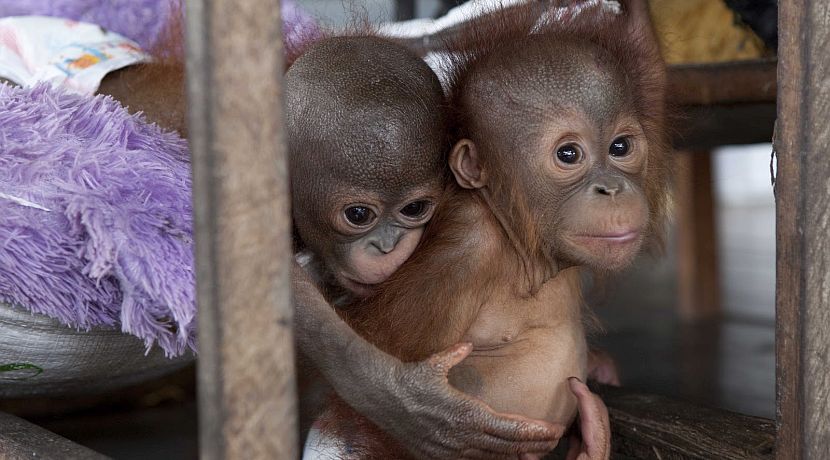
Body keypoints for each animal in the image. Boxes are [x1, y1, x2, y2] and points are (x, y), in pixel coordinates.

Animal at [313, 0, 669, 458]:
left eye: (620, 147)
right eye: (568, 154)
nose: (612, 188)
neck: (519, 245)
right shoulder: (461, 255)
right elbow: (380, 401)